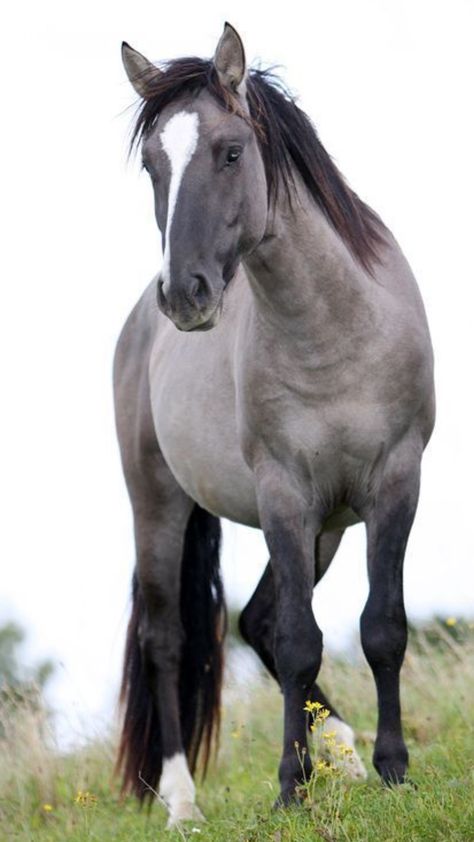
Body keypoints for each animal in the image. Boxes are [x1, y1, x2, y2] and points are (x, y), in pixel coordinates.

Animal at [114, 21, 434, 828]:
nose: (185, 294)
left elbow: (382, 629)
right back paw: (183, 804)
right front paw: (292, 785)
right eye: (153, 164)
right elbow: (297, 641)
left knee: (254, 620)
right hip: (159, 501)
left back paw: (344, 758)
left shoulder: (395, 483)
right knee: (169, 637)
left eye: (232, 151)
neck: (334, 330)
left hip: (328, 528)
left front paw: (391, 771)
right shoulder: (283, 496)